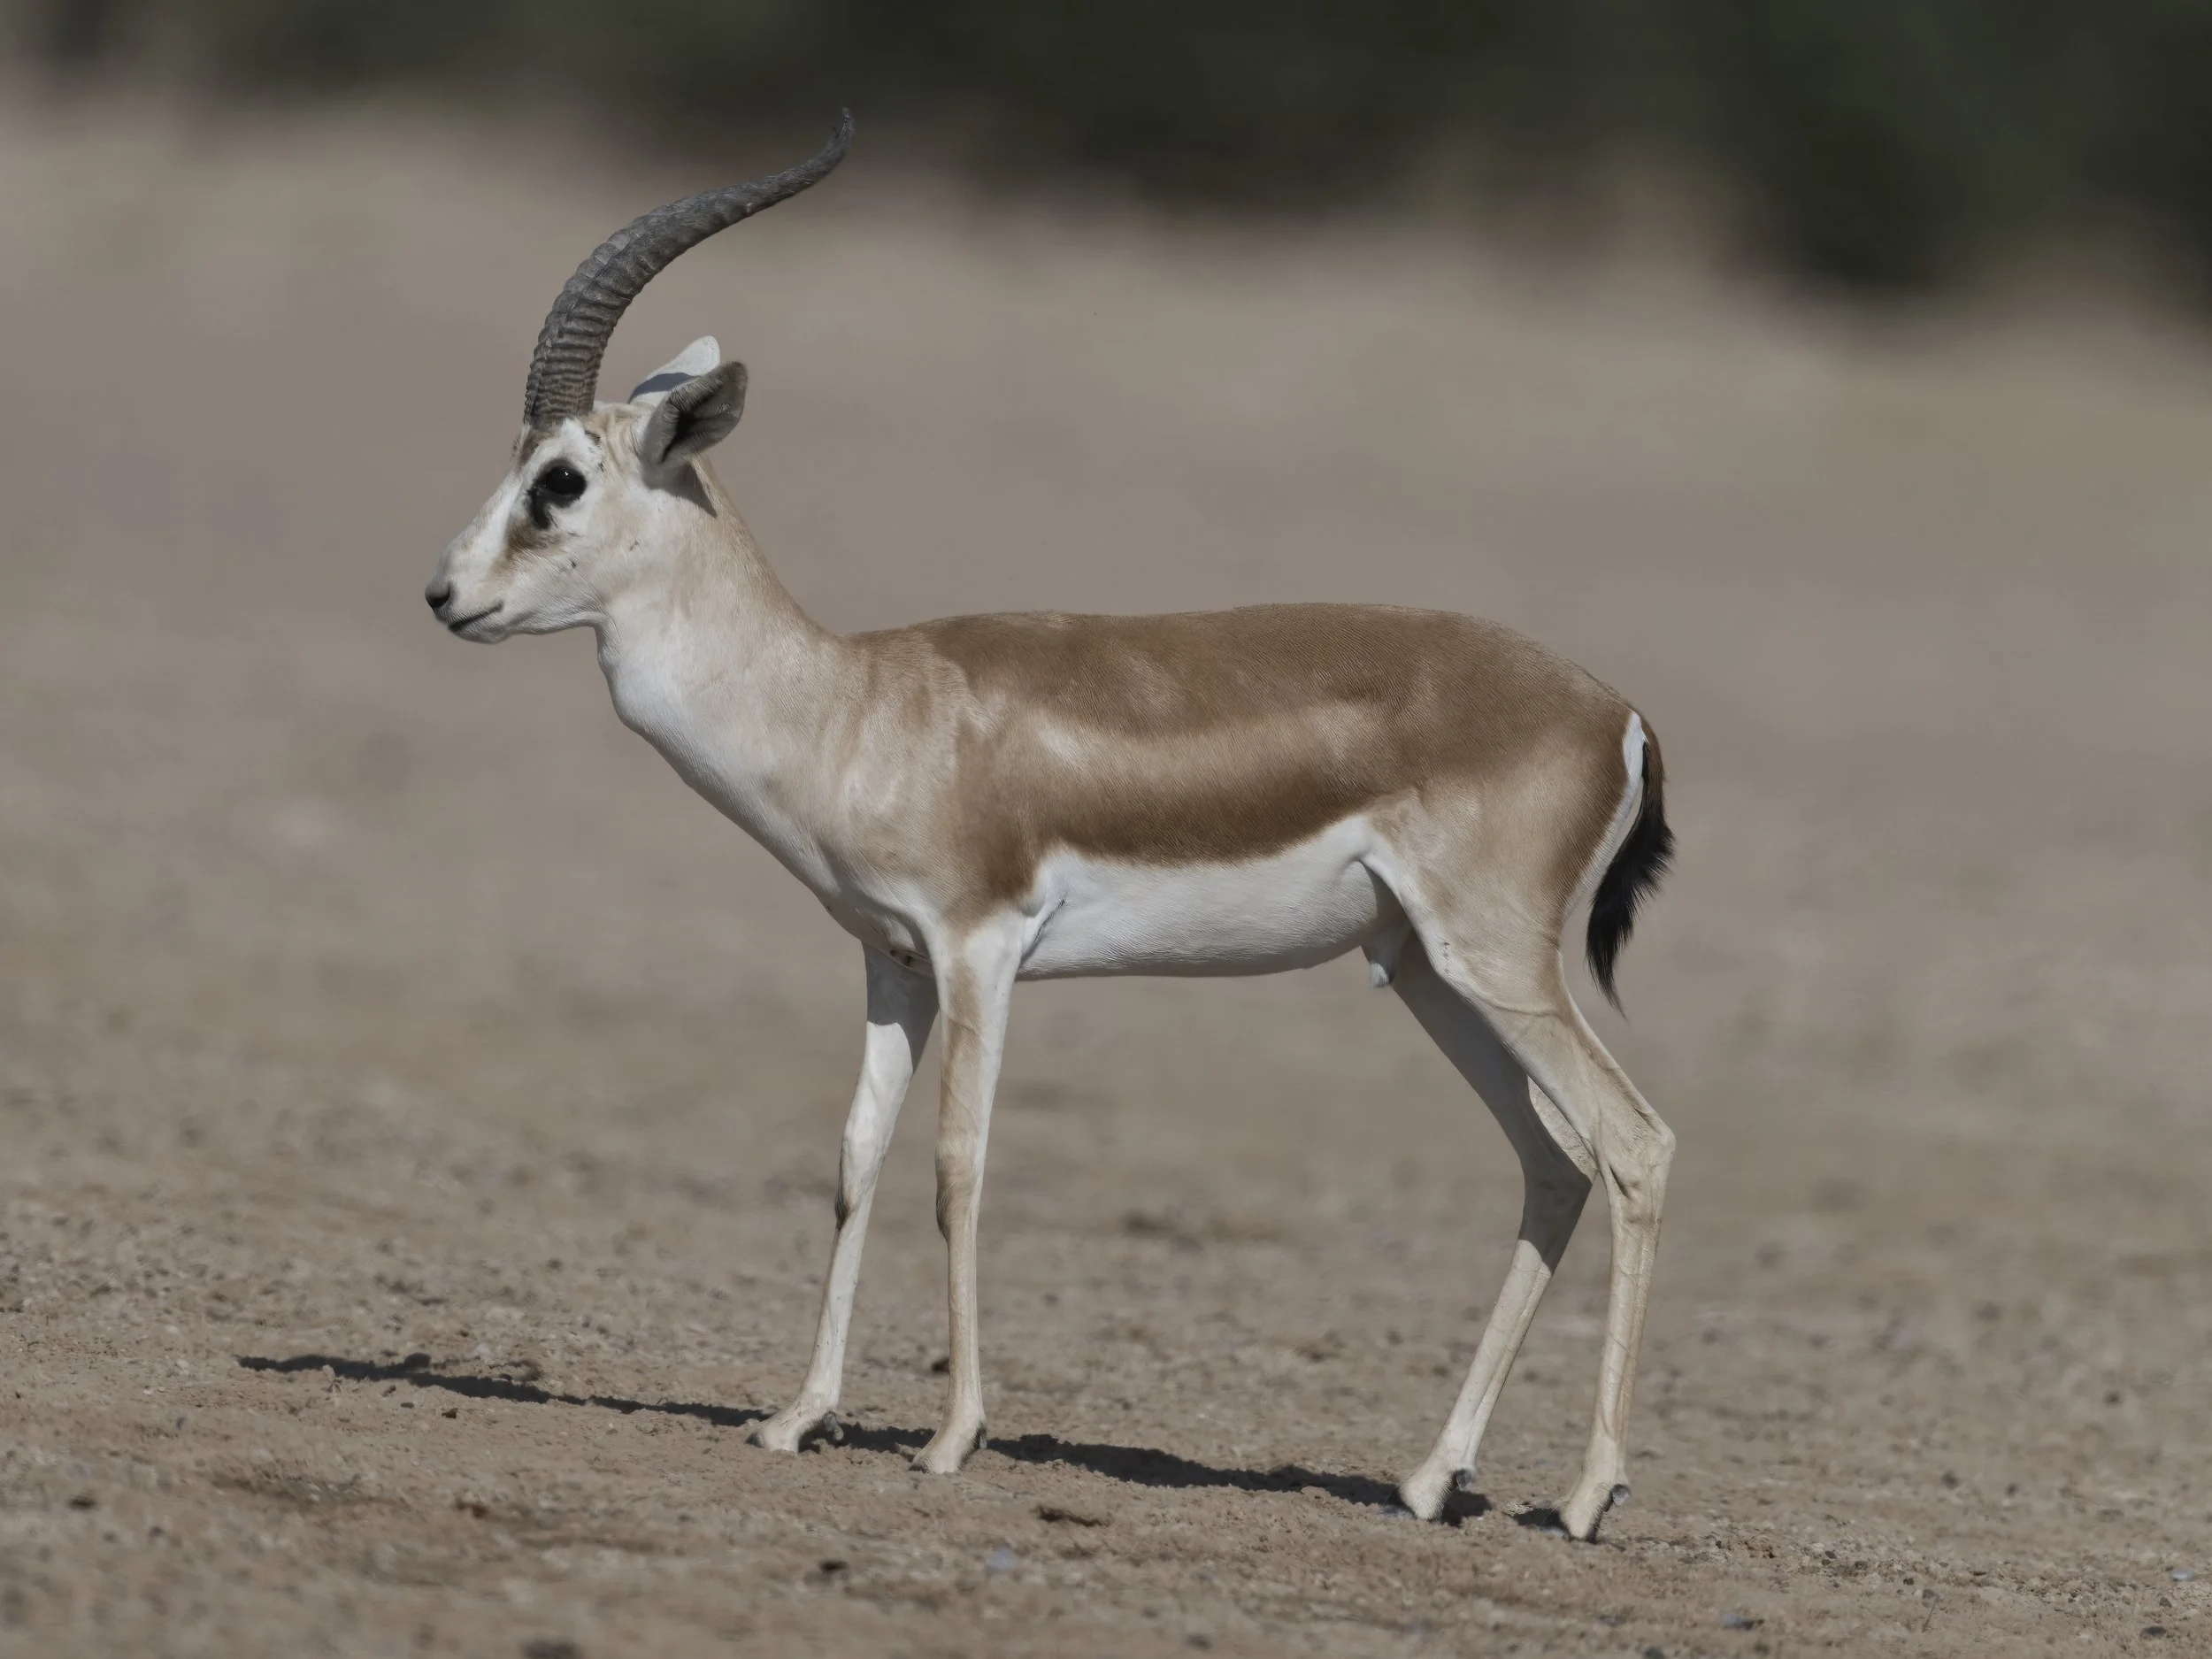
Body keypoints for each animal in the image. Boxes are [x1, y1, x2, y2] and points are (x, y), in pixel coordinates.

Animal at [424, 115, 1676, 1541]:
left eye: (560, 479)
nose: (444, 594)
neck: (861, 703)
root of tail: (1618, 711)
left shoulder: (982, 948)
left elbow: (956, 1166)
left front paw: (952, 1434)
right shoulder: (892, 963)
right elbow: (856, 1154)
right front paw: (799, 1414)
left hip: (1497, 963)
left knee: (1633, 1144)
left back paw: (1584, 1494)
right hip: (1426, 971)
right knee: (1555, 1161)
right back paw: (1427, 1478)